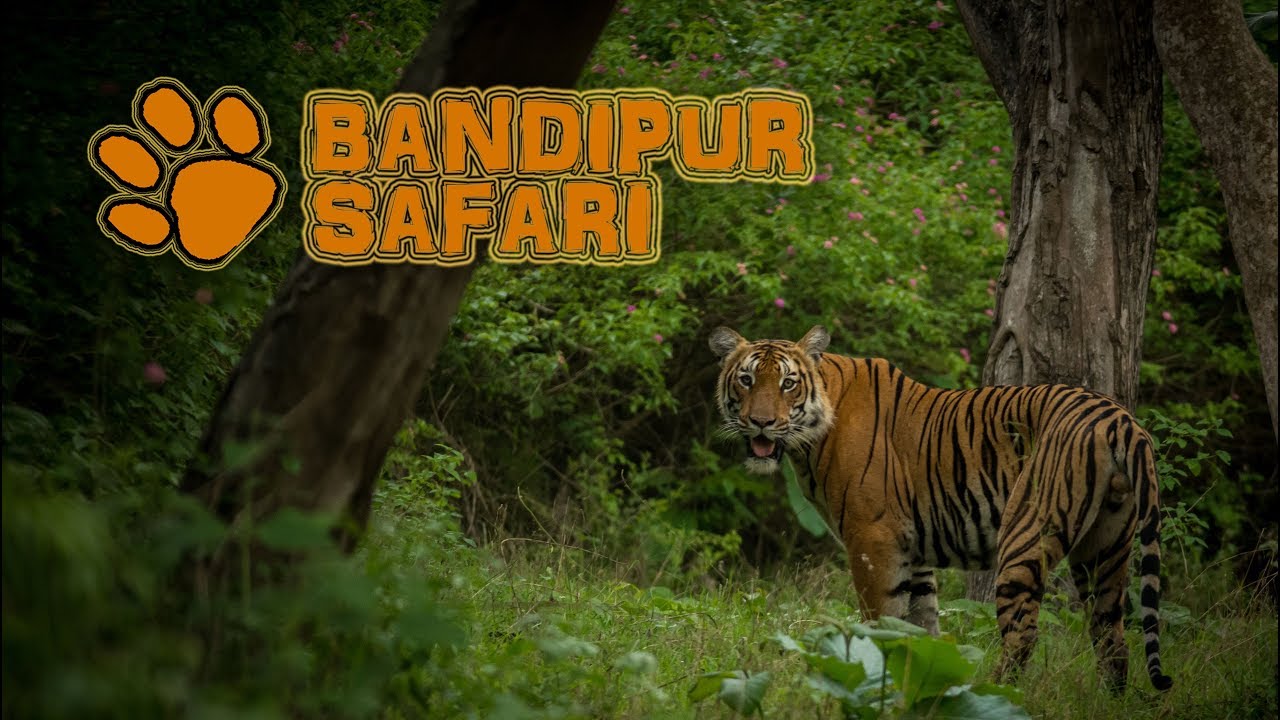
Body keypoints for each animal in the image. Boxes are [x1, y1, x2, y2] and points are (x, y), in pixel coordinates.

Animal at [709, 325, 1173, 693]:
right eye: (746, 380)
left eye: (788, 384)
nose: (762, 423)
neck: (810, 441)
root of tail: (1118, 418)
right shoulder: (913, 553)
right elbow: (920, 630)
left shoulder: (872, 542)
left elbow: (878, 626)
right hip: (1105, 547)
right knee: (1111, 636)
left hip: (1026, 533)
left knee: (1023, 635)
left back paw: (995, 692)